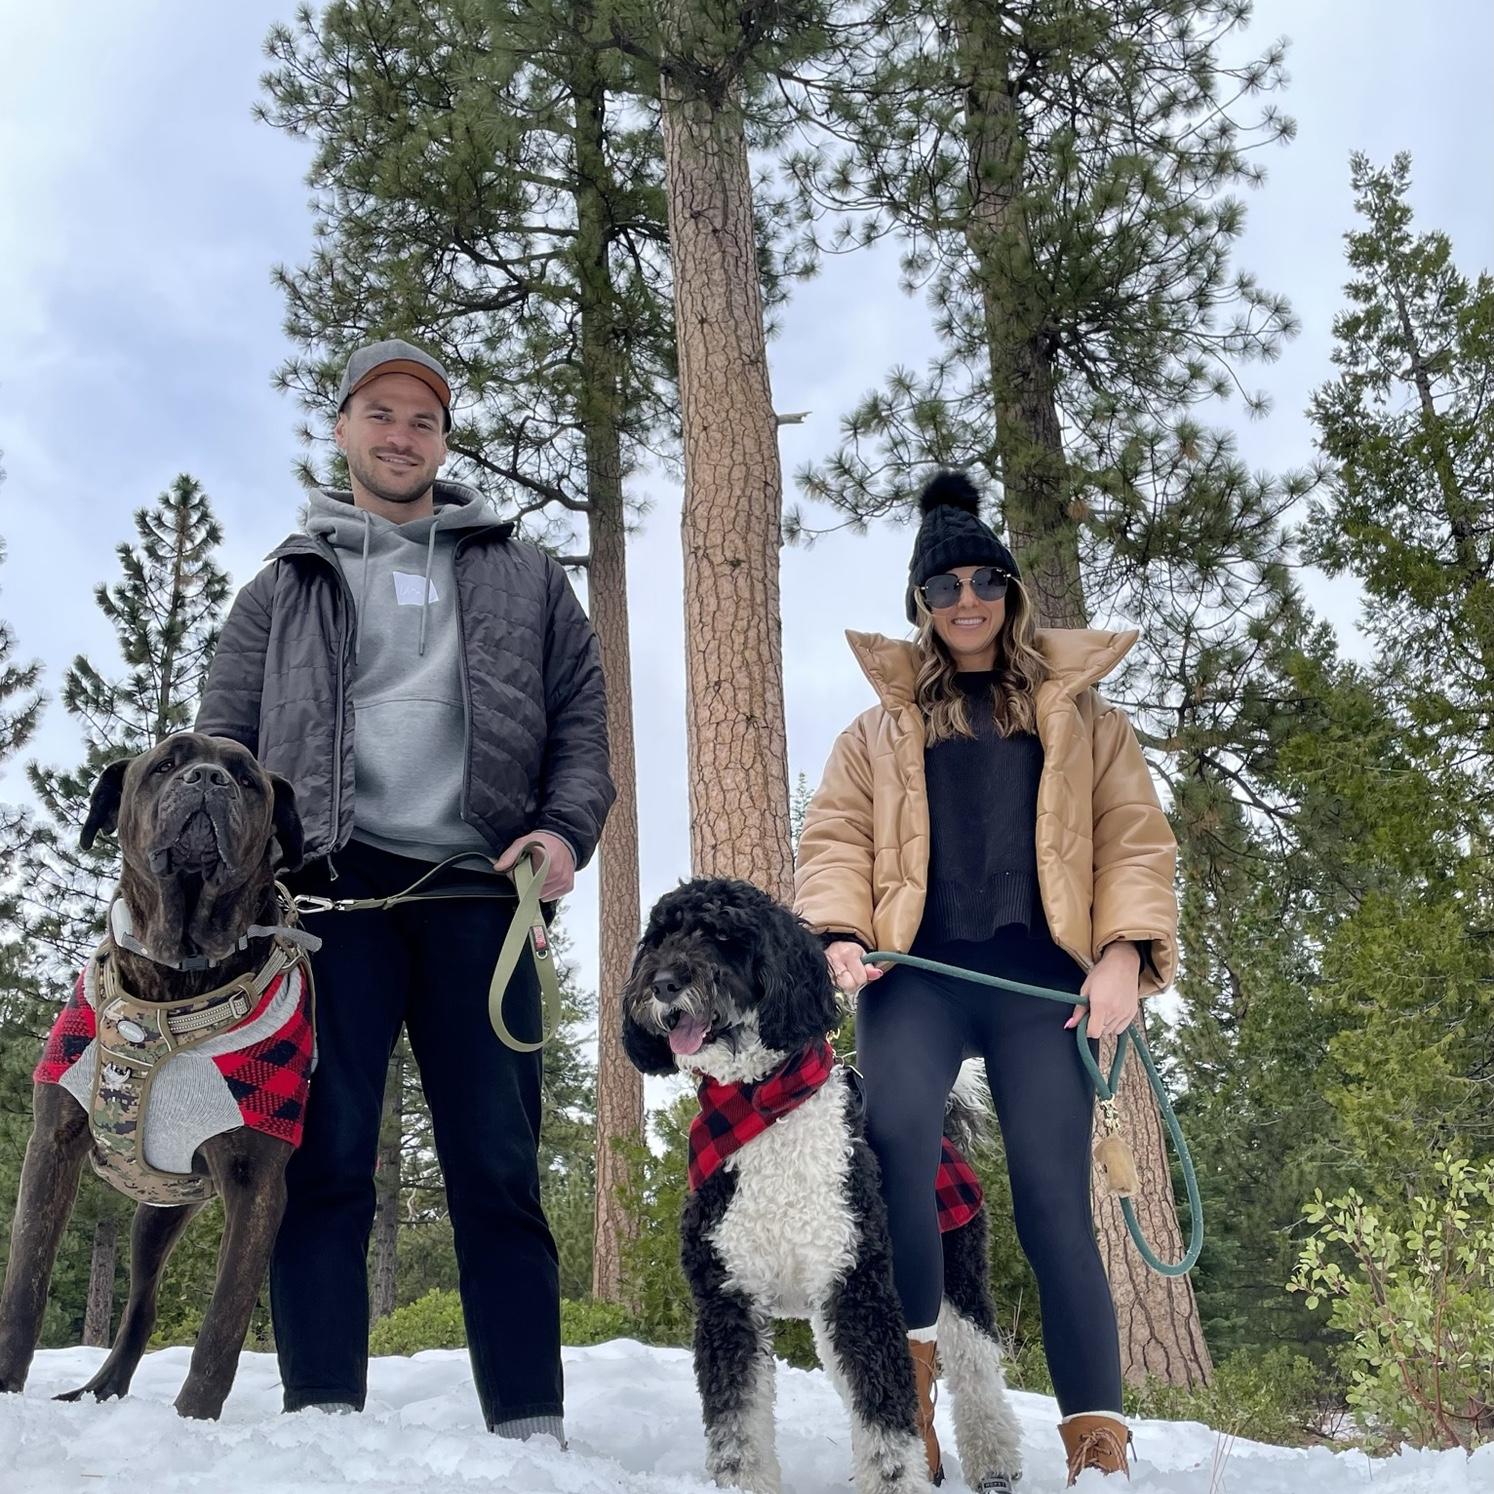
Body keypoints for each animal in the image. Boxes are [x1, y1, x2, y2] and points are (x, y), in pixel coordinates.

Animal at [0, 732, 312, 1420]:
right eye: (166, 764)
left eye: (247, 780)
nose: (208, 780)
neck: (178, 978)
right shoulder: (52, 1145)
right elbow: (24, 1286)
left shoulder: (256, 1182)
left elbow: (223, 1322)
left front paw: (195, 1419)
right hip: (154, 1215)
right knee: (138, 1309)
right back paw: (94, 1393)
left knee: (142, 1311)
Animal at [622, 878, 1022, 1494]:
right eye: (660, 936)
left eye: (724, 936)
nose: (663, 983)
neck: (762, 1107)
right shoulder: (728, 1301)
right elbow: (738, 1425)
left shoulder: (858, 1290)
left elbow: (885, 1424)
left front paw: (895, 1482)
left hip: (957, 1278)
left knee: (977, 1372)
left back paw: (995, 1463)